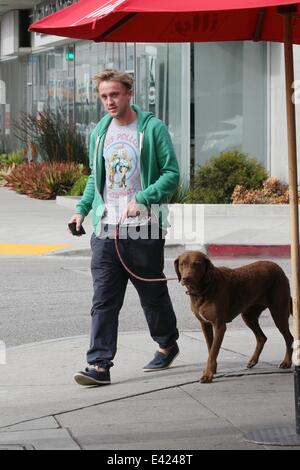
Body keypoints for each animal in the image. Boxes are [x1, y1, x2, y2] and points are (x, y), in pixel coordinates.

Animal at [173, 252, 292, 384]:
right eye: (182, 264)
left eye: (197, 264)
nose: (186, 278)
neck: (204, 288)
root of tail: (278, 267)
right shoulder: (205, 324)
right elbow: (210, 348)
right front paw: (212, 370)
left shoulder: (219, 326)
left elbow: (214, 350)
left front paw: (208, 374)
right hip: (248, 316)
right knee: (262, 337)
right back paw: (253, 361)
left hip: (279, 313)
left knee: (289, 338)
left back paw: (286, 362)